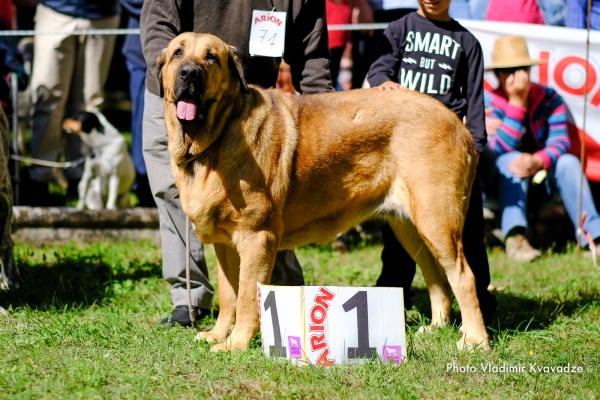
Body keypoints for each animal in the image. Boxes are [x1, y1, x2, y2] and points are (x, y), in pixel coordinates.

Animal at [157, 32, 490, 352]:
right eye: (177, 53)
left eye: (211, 57)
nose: (189, 73)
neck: (216, 138)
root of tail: (457, 123)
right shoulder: (225, 245)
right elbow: (229, 296)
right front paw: (217, 335)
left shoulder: (257, 237)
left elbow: (248, 298)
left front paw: (235, 344)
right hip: (409, 227)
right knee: (436, 276)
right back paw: (437, 328)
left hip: (436, 220)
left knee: (463, 276)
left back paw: (475, 339)